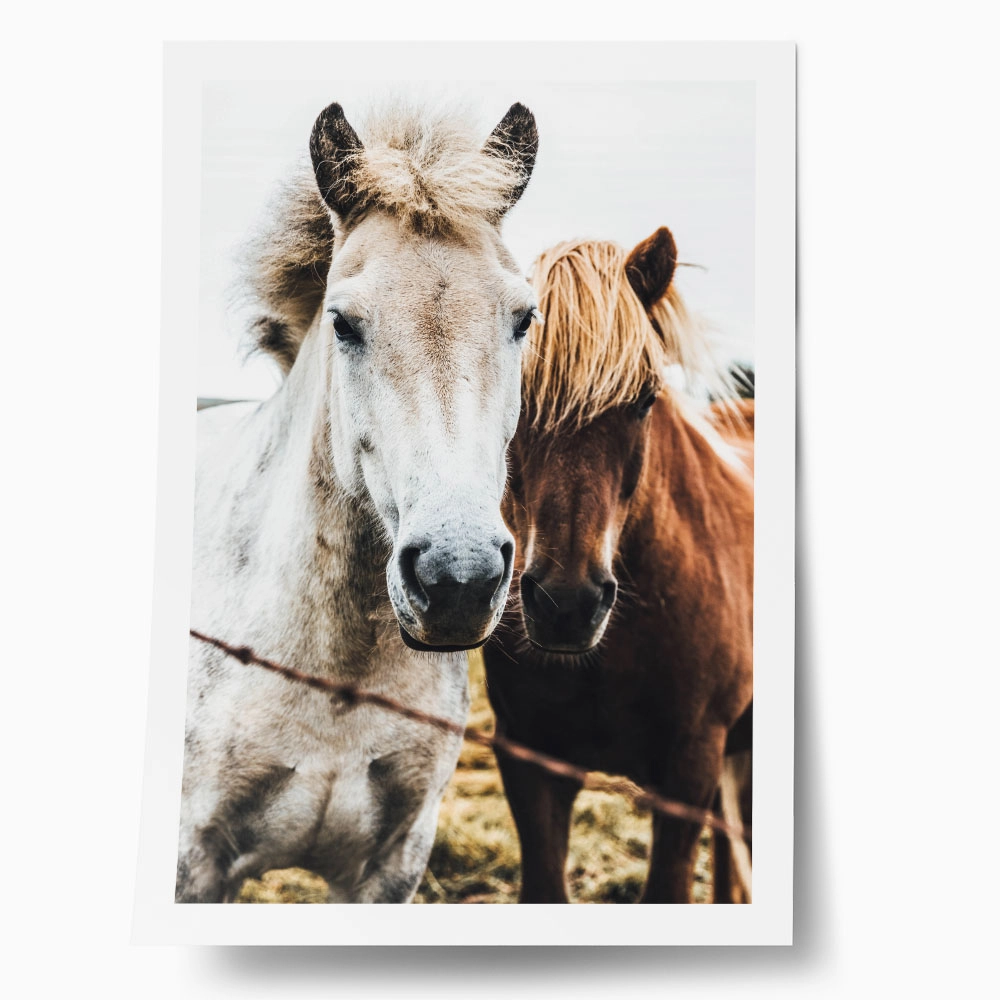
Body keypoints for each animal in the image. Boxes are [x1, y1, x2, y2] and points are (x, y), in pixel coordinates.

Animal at [176, 100, 541, 903]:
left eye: (523, 318)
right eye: (344, 322)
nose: (457, 579)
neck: (336, 680)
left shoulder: (393, 865)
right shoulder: (194, 865)